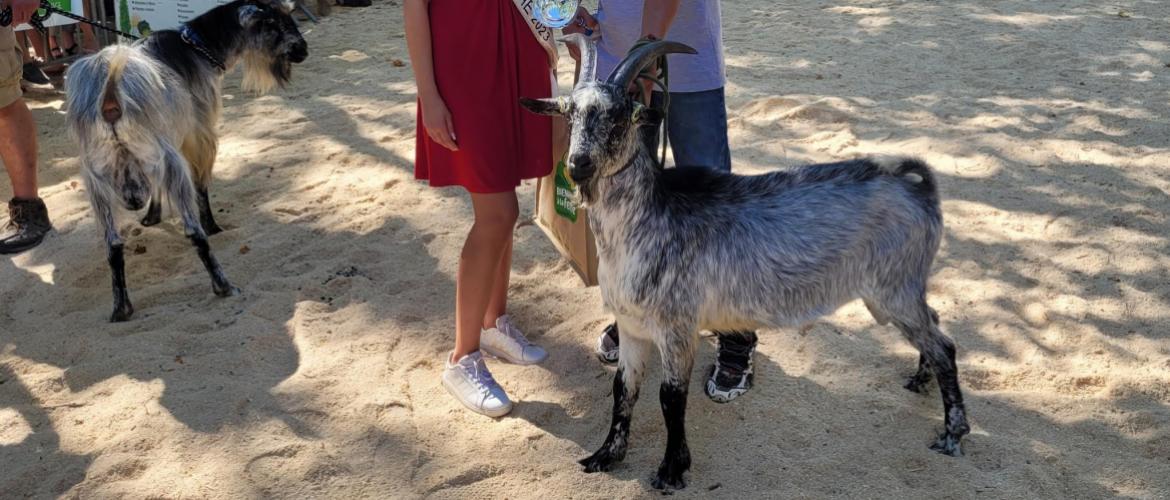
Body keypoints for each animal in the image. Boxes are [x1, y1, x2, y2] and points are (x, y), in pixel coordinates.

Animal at [66, 0, 308, 320]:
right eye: (272, 22)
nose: (303, 49)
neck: (196, 46)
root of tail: (110, 97)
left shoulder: (160, 152)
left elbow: (154, 188)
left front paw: (152, 216)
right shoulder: (197, 134)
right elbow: (201, 184)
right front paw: (213, 225)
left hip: (99, 178)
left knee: (114, 244)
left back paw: (121, 309)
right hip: (168, 161)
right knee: (193, 231)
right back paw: (223, 285)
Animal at [521, 36, 968, 494]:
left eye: (620, 115)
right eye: (569, 113)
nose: (579, 165)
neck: (644, 225)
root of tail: (917, 189)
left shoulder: (678, 329)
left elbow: (670, 398)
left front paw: (671, 470)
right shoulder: (631, 328)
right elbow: (623, 389)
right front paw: (606, 455)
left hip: (893, 290)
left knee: (945, 346)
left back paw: (952, 433)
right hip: (897, 291)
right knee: (933, 323)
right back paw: (920, 380)